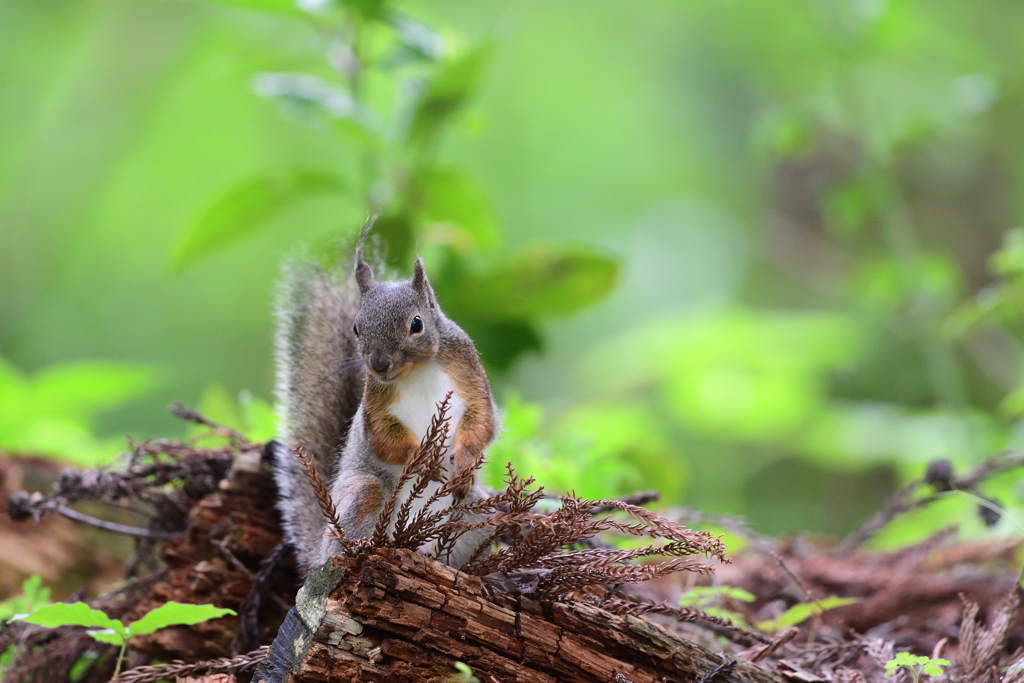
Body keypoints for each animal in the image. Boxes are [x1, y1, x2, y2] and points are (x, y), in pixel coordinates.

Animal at [270, 232, 497, 573]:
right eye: (356, 328)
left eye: (416, 324)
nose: (378, 364)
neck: (419, 370)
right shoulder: (375, 402)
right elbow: (381, 437)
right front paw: (422, 460)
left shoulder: (469, 373)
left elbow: (482, 420)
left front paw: (465, 463)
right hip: (362, 493)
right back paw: (360, 548)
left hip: (475, 513)